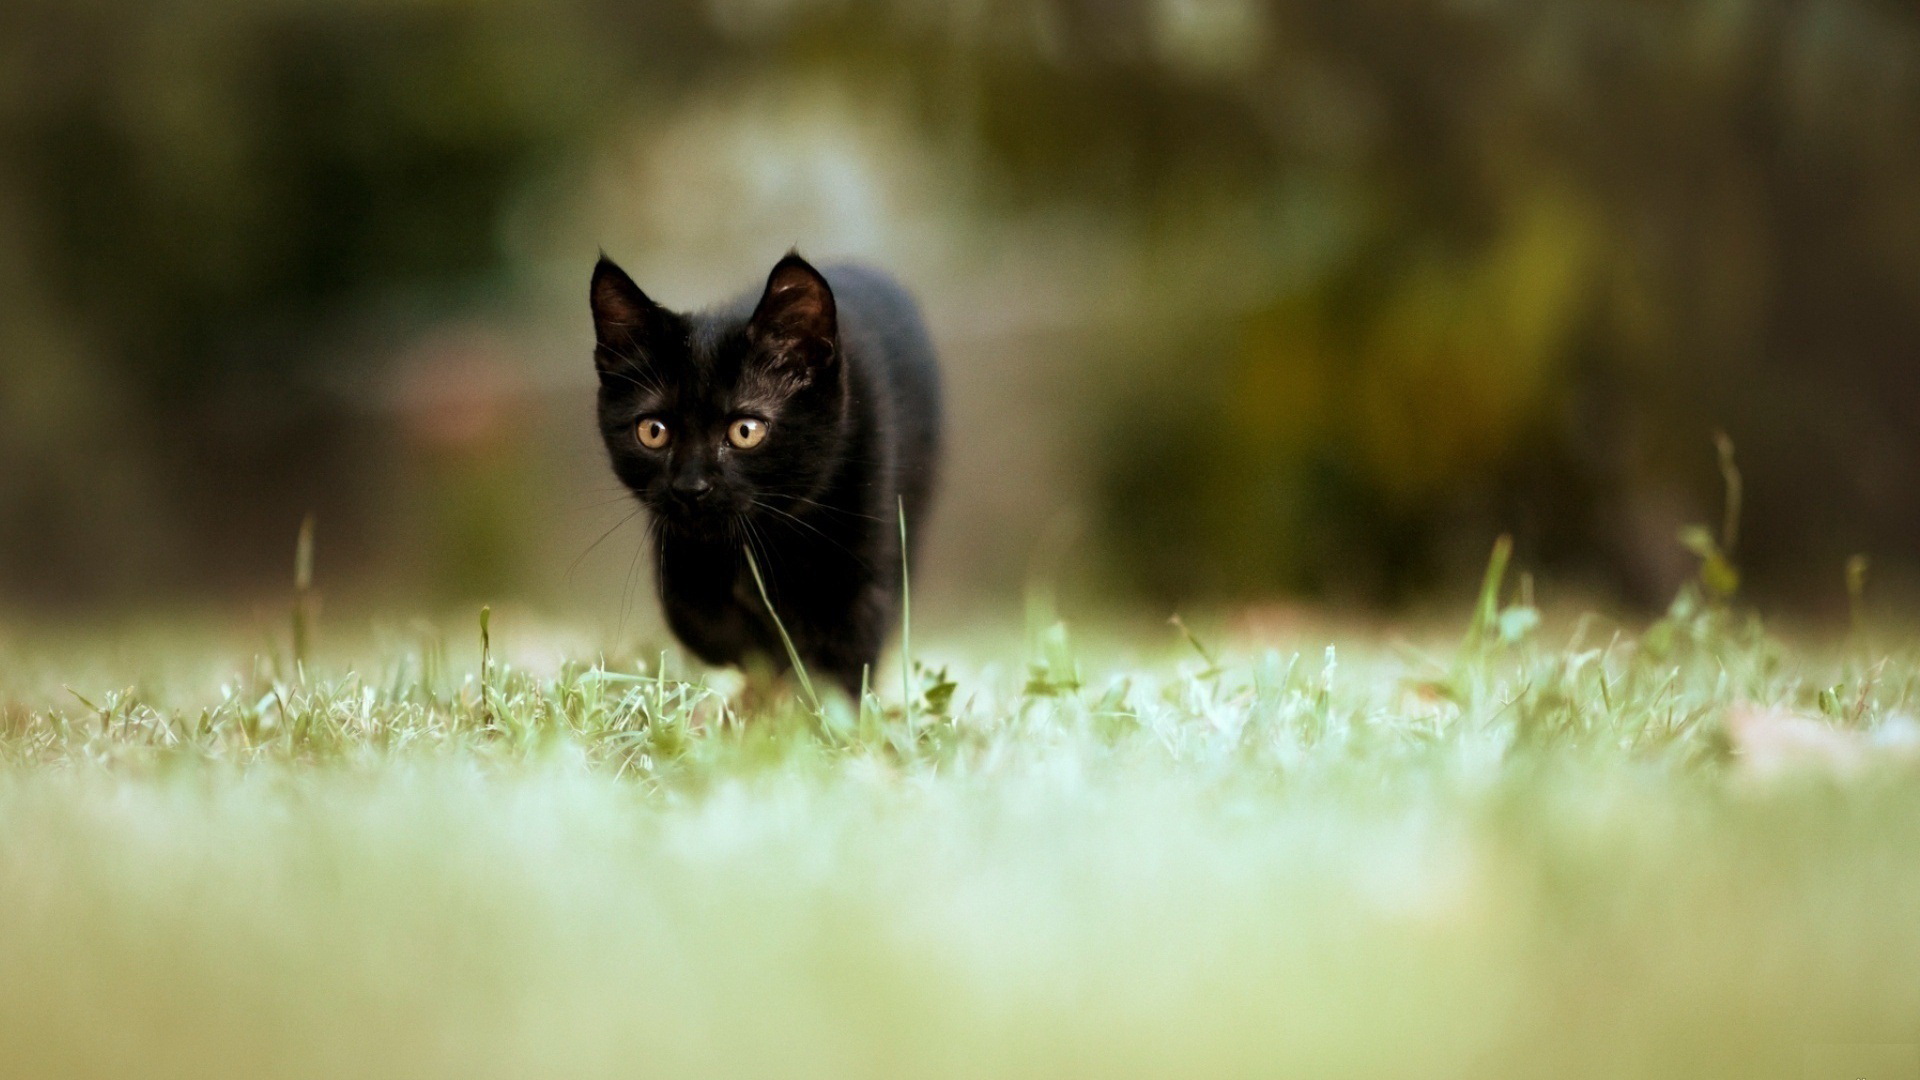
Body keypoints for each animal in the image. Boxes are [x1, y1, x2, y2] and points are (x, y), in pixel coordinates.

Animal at [587, 249, 940, 687]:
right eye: (653, 431)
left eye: (745, 431)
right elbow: (708, 625)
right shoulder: (677, 554)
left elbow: (846, 652)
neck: (769, 536)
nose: (690, 487)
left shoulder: (864, 563)